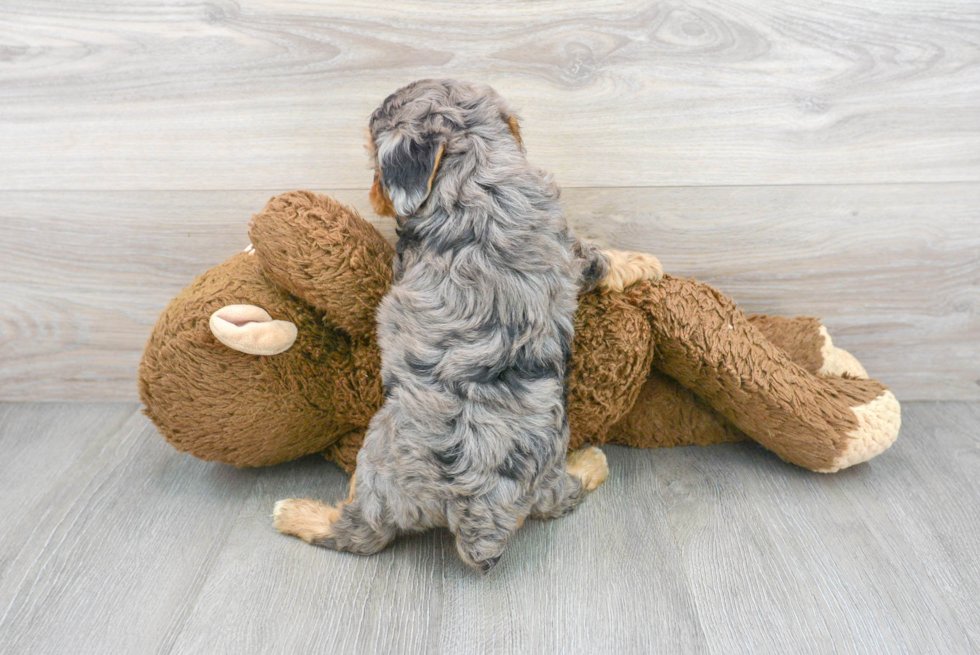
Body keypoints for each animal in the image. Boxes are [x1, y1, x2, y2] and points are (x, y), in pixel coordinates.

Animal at [272, 78, 664, 576]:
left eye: (375, 159)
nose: (375, 196)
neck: (476, 171)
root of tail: (477, 508)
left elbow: (600, 255)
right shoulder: (565, 245)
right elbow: (598, 255)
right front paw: (643, 261)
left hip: (379, 457)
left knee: (361, 534)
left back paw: (296, 512)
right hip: (544, 470)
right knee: (558, 498)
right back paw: (590, 462)